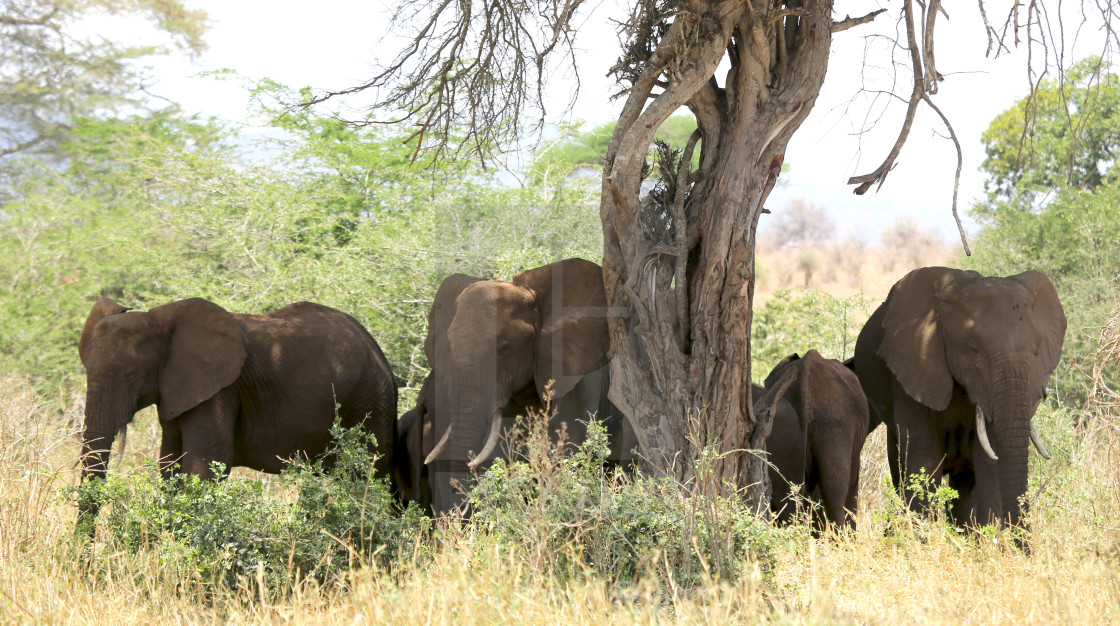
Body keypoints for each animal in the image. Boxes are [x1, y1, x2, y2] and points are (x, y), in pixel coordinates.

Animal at [76, 295, 398, 526]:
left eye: (132, 375)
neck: (156, 321)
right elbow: (170, 466)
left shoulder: (220, 392)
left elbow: (203, 467)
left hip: (370, 399)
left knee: (367, 477)